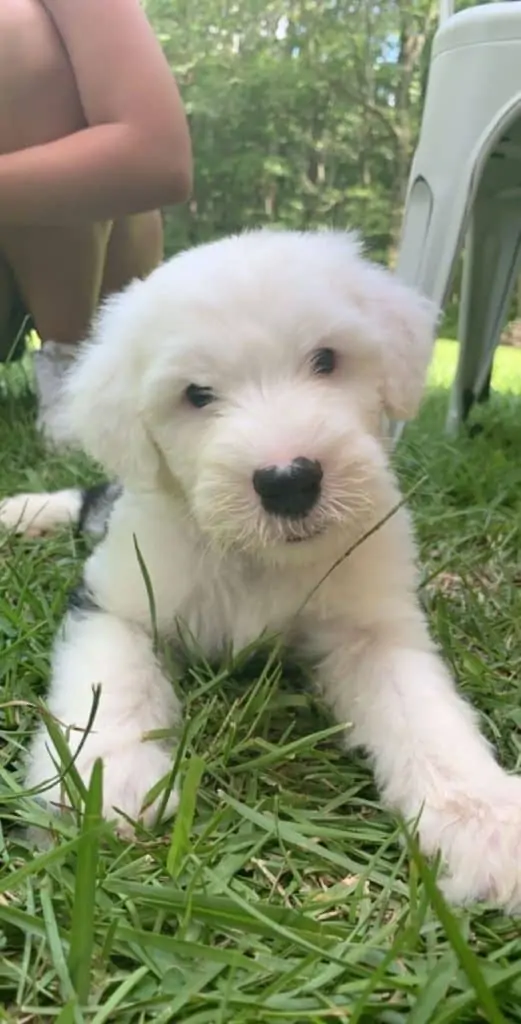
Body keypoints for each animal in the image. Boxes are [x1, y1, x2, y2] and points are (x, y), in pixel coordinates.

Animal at [3, 228, 519, 909]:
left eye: (325, 359)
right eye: (197, 395)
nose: (288, 480)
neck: (259, 558)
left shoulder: (373, 626)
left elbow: (423, 712)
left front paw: (483, 820)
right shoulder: (116, 597)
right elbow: (111, 676)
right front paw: (105, 781)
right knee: (85, 497)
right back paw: (20, 512)